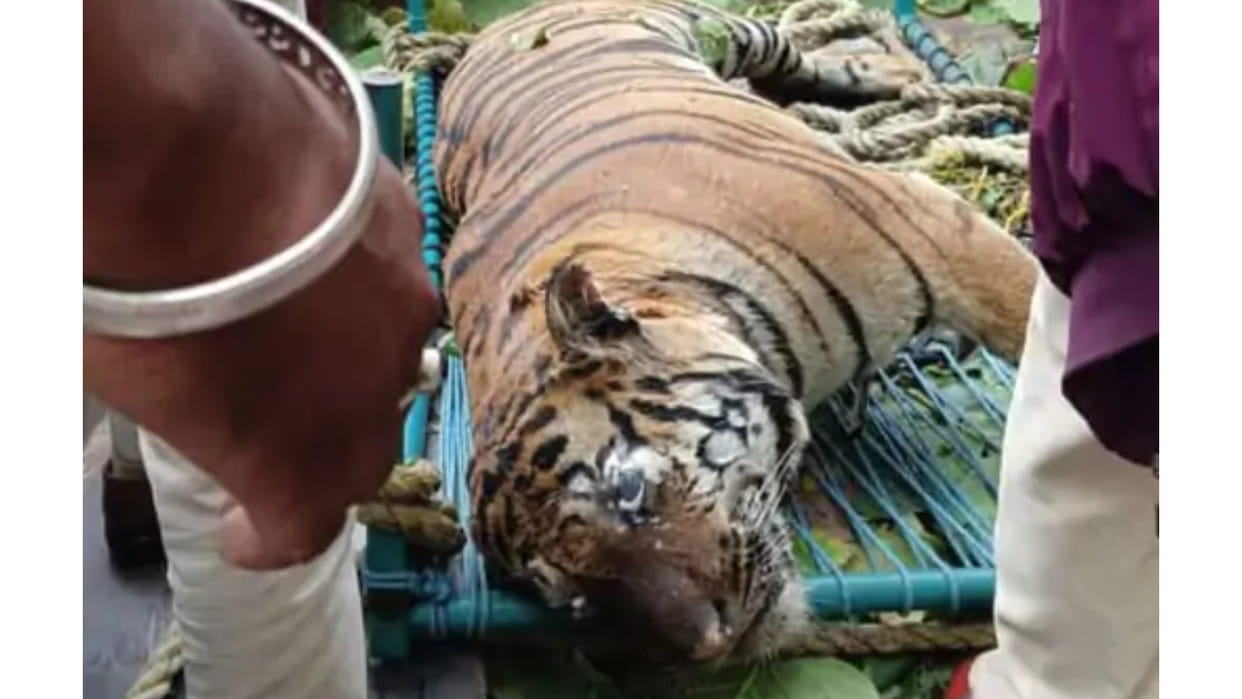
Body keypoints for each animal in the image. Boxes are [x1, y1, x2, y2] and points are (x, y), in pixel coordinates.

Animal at [432, 0, 1037, 663]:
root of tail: (495, 28)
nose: (706, 644)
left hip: (734, 30)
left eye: (626, 489)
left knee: (807, 58)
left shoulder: (929, 222)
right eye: (571, 595)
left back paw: (894, 72)